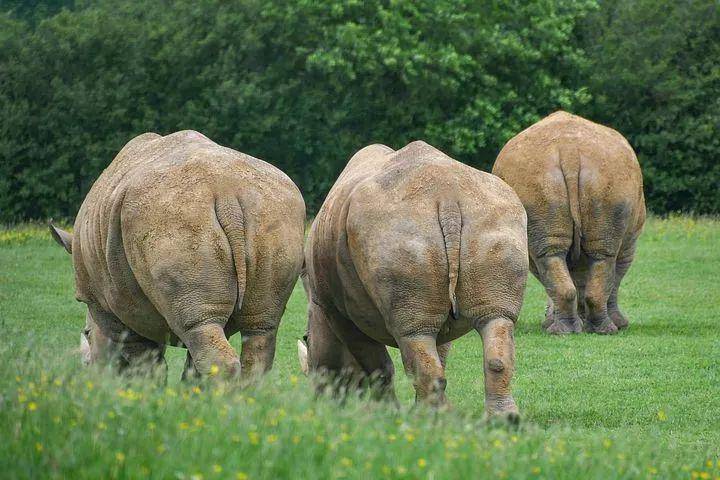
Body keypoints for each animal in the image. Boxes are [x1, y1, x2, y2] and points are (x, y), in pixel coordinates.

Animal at [50, 130, 304, 378]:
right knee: (258, 327)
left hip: (170, 220)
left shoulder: (107, 306)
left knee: (202, 328)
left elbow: (143, 360)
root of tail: (226, 191)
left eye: (87, 333)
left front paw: (147, 388)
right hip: (272, 212)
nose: (91, 371)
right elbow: (189, 361)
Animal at [296, 141, 524, 418]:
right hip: (493, 217)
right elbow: (438, 352)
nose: (320, 400)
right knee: (495, 319)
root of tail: (447, 197)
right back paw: (501, 420)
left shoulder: (336, 311)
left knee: (413, 334)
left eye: (307, 340)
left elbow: (378, 366)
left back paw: (436, 418)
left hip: (392, 230)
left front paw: (386, 413)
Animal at [492, 111, 644, 334]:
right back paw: (593, 330)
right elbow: (616, 277)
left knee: (561, 254)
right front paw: (619, 324)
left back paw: (572, 331)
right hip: (584, 176)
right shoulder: (630, 243)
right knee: (595, 257)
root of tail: (569, 150)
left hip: (577, 176)